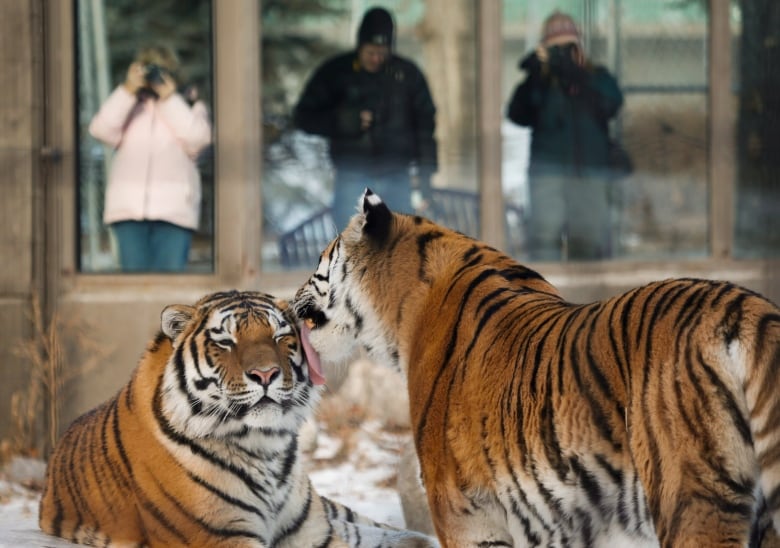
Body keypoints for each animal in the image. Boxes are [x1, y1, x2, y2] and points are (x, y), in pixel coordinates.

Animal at [39, 288, 438, 544]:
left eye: (279, 336)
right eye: (225, 342)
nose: (265, 374)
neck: (265, 446)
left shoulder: (315, 532)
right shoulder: (221, 536)